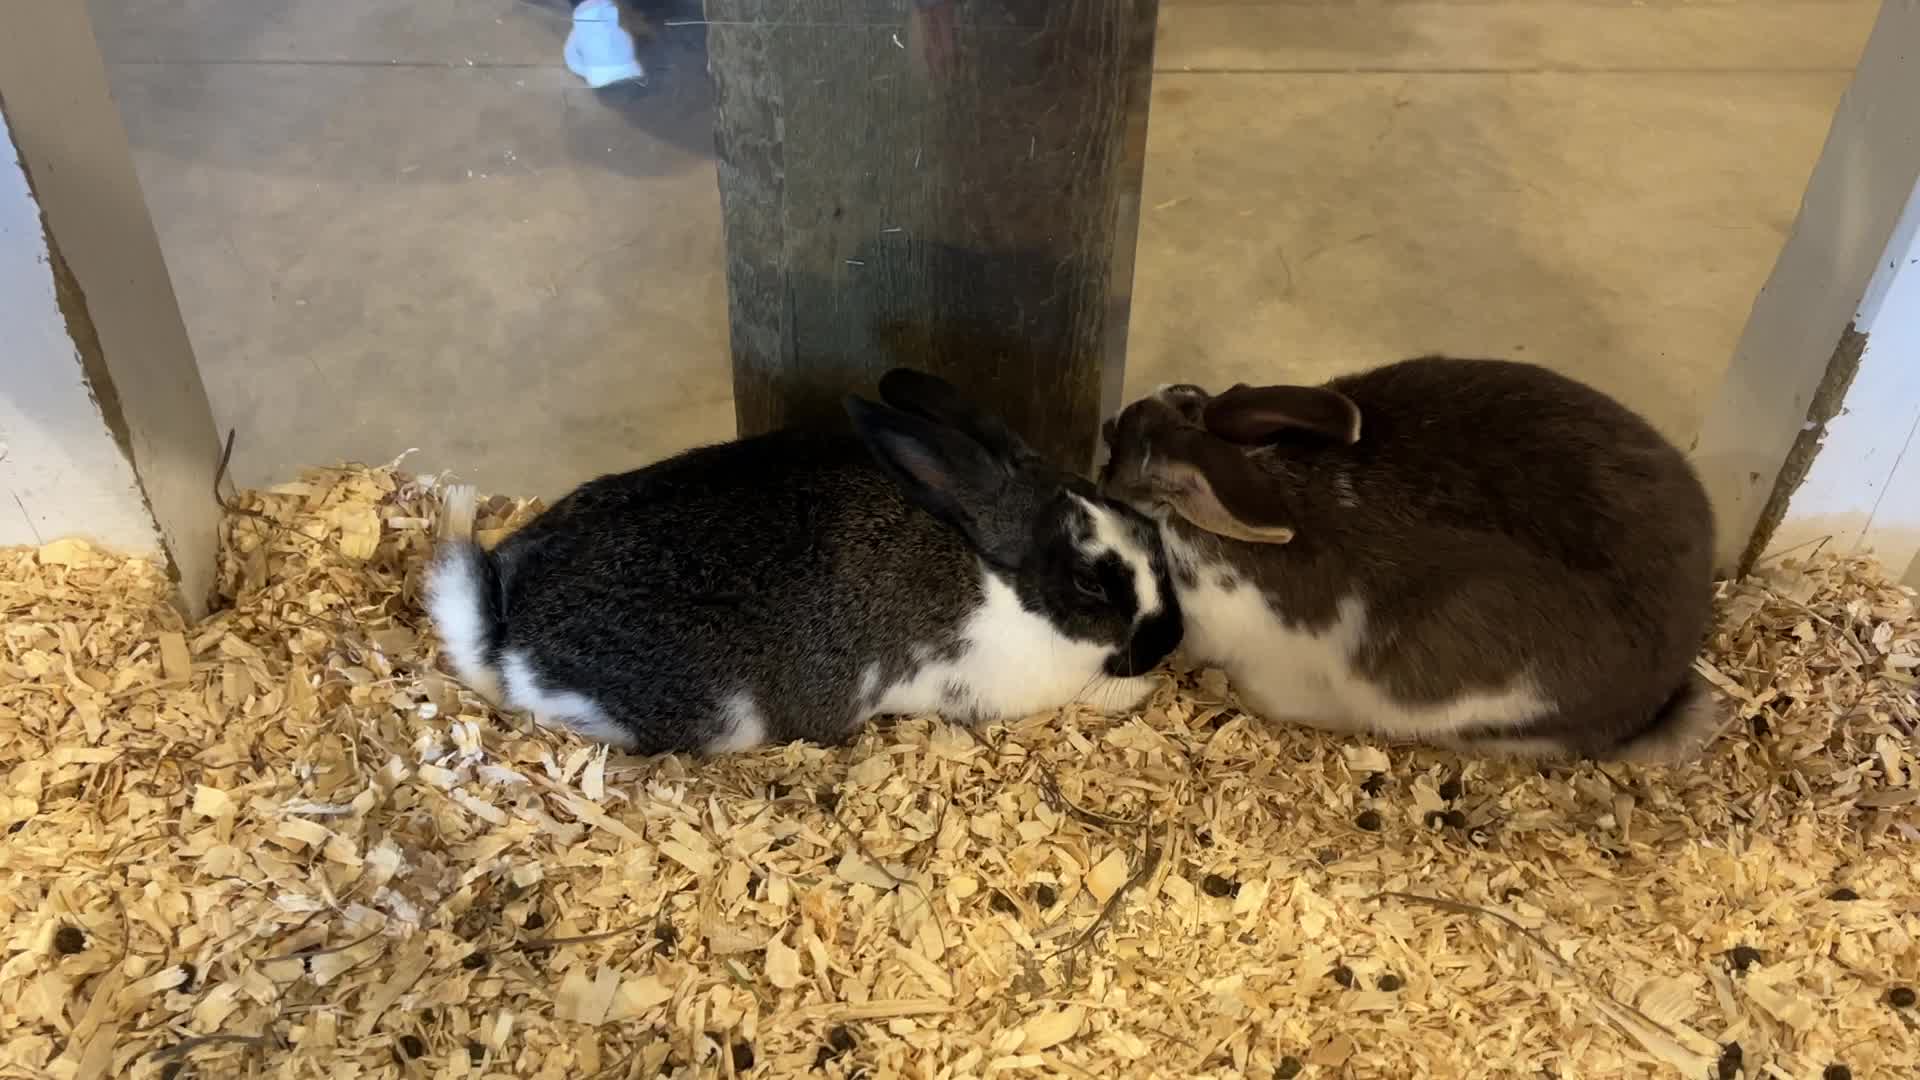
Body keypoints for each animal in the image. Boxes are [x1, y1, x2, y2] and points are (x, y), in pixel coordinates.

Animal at [425, 368, 1183, 755]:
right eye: (1088, 582)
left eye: (1146, 526)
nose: (1170, 640)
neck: (1001, 580)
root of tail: (506, 638)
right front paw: (1139, 691)